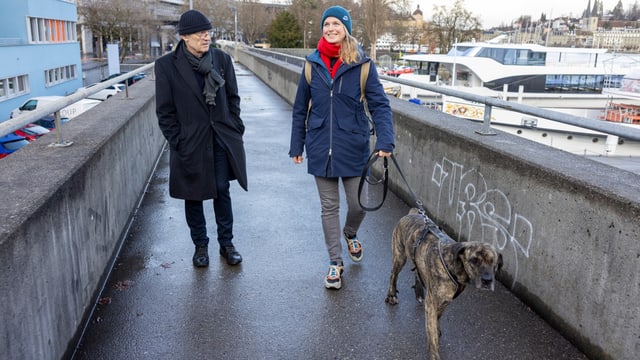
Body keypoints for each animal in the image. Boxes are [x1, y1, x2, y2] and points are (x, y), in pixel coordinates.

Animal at [384, 208, 504, 360]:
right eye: (474, 260)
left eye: (494, 262)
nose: (487, 280)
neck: (454, 265)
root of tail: (412, 213)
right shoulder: (432, 303)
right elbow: (432, 335)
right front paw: (435, 352)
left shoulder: (445, 300)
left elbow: (438, 317)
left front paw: (437, 327)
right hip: (400, 256)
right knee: (393, 275)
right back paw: (392, 295)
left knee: (417, 270)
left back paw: (418, 291)